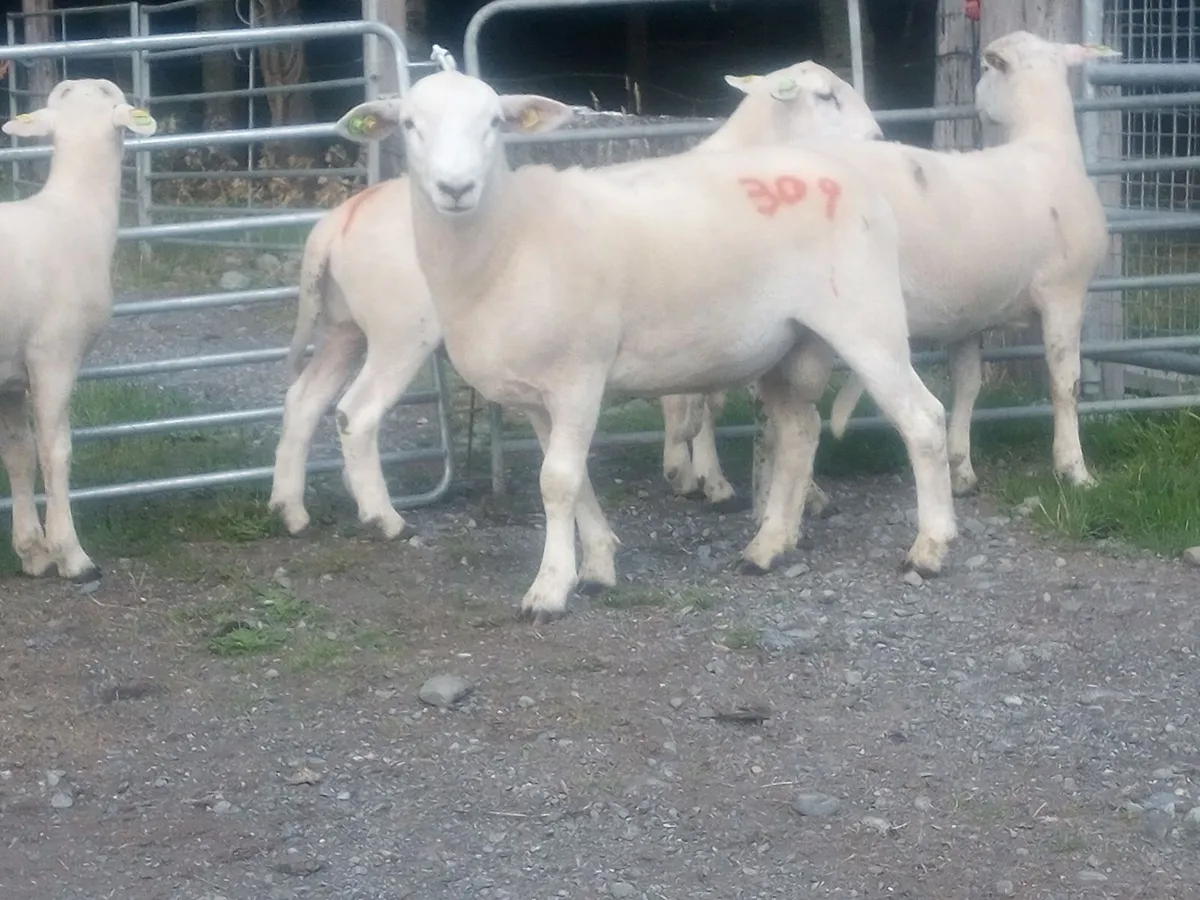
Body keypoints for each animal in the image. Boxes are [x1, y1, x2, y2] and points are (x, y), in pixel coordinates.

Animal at [0, 79, 157, 581]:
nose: (85, 79)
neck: (75, 210)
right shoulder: (55, 354)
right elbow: (56, 451)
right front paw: (71, 555)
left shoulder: (10, 374)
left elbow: (18, 452)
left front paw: (31, 551)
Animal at [267, 62, 882, 539]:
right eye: (826, 95)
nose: (878, 138)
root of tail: (337, 221)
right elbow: (720, 410)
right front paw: (727, 483)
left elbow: (700, 401)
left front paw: (698, 475)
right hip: (399, 335)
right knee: (356, 414)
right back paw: (385, 519)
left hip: (346, 330)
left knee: (304, 400)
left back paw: (290, 509)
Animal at [332, 69, 957, 623]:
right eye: (410, 124)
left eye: (492, 122)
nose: (456, 188)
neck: (510, 238)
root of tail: (844, 172)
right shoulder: (539, 398)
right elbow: (573, 478)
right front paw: (597, 567)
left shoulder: (578, 376)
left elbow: (557, 482)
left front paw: (549, 590)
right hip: (789, 344)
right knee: (800, 432)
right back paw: (768, 548)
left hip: (865, 321)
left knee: (923, 420)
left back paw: (929, 549)